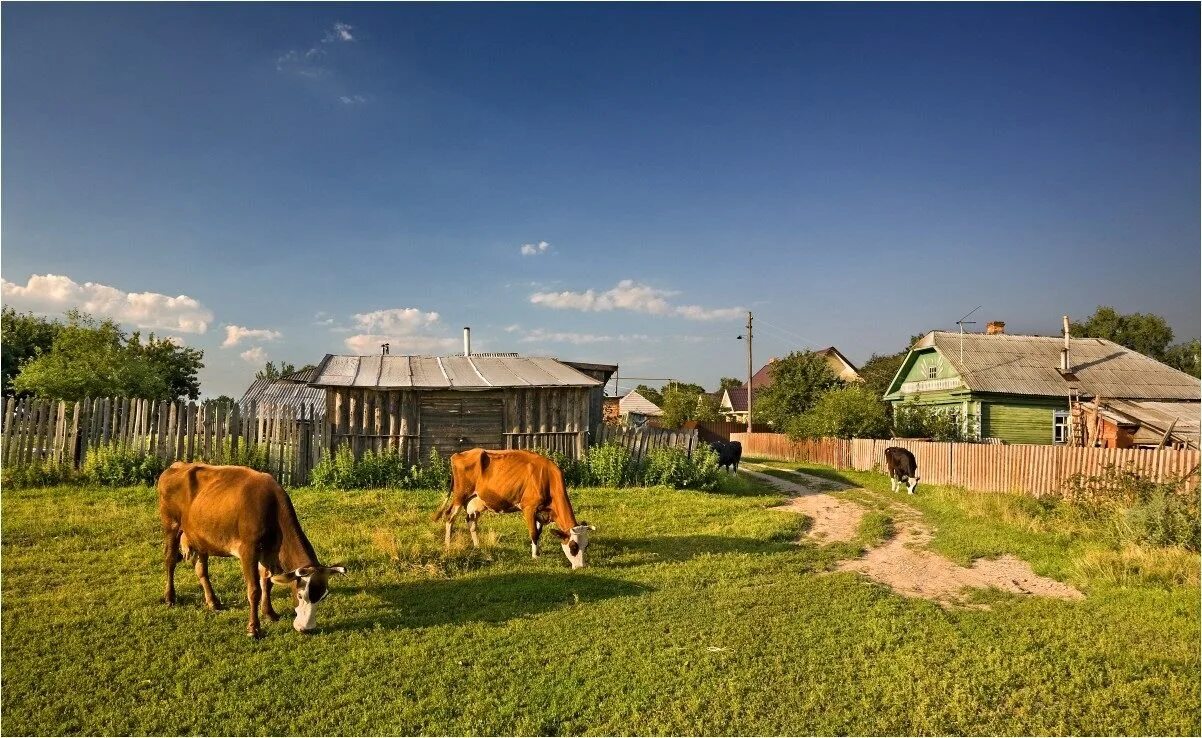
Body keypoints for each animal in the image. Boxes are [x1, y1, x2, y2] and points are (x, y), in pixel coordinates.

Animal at [157, 466, 346, 639]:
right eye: (300, 595)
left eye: (323, 597)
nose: (306, 629)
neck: (273, 509)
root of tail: (176, 466)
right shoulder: (248, 551)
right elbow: (254, 590)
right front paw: (254, 629)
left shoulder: (269, 553)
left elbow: (267, 583)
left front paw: (269, 613)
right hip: (171, 525)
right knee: (170, 560)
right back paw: (170, 597)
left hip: (200, 535)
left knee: (201, 569)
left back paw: (213, 601)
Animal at [437, 447, 596, 569]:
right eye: (573, 547)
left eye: (586, 545)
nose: (581, 567)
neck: (547, 478)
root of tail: (459, 454)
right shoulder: (529, 508)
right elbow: (533, 533)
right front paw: (535, 556)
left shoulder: (541, 512)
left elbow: (538, 533)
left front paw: (538, 551)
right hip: (460, 496)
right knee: (449, 517)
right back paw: (448, 545)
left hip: (474, 501)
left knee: (471, 522)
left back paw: (477, 546)